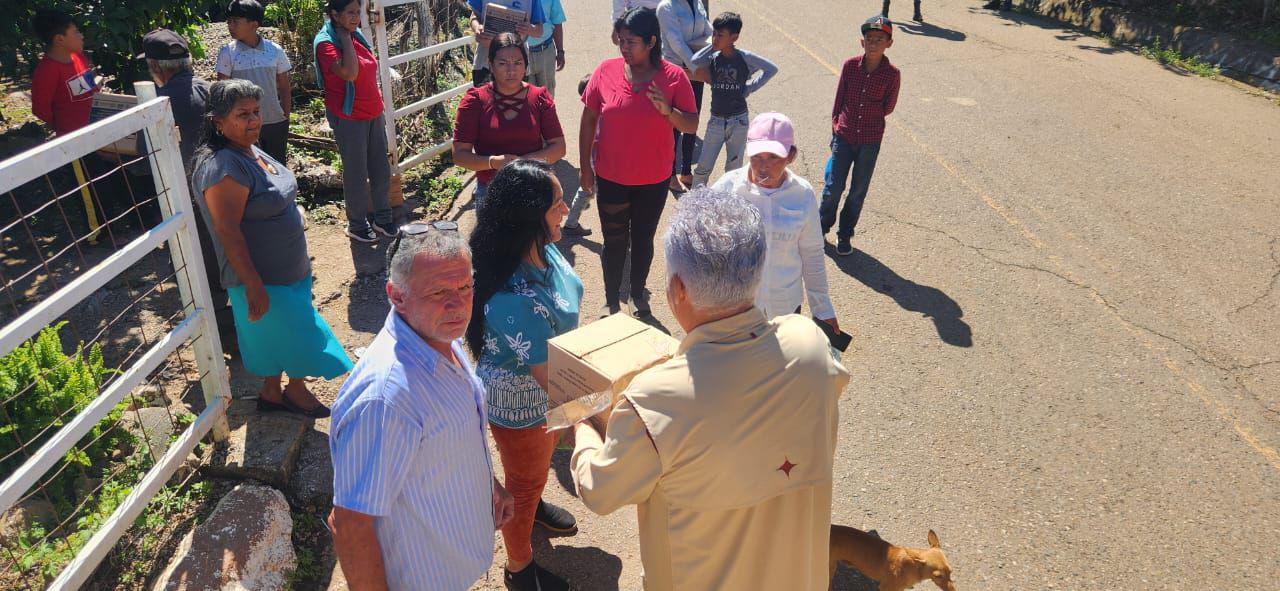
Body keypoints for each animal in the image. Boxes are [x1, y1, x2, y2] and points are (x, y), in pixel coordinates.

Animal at [824, 524, 957, 588]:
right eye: (938, 576)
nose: (952, 589)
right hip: (830, 568)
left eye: (951, 572)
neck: (912, 567)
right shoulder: (885, 588)